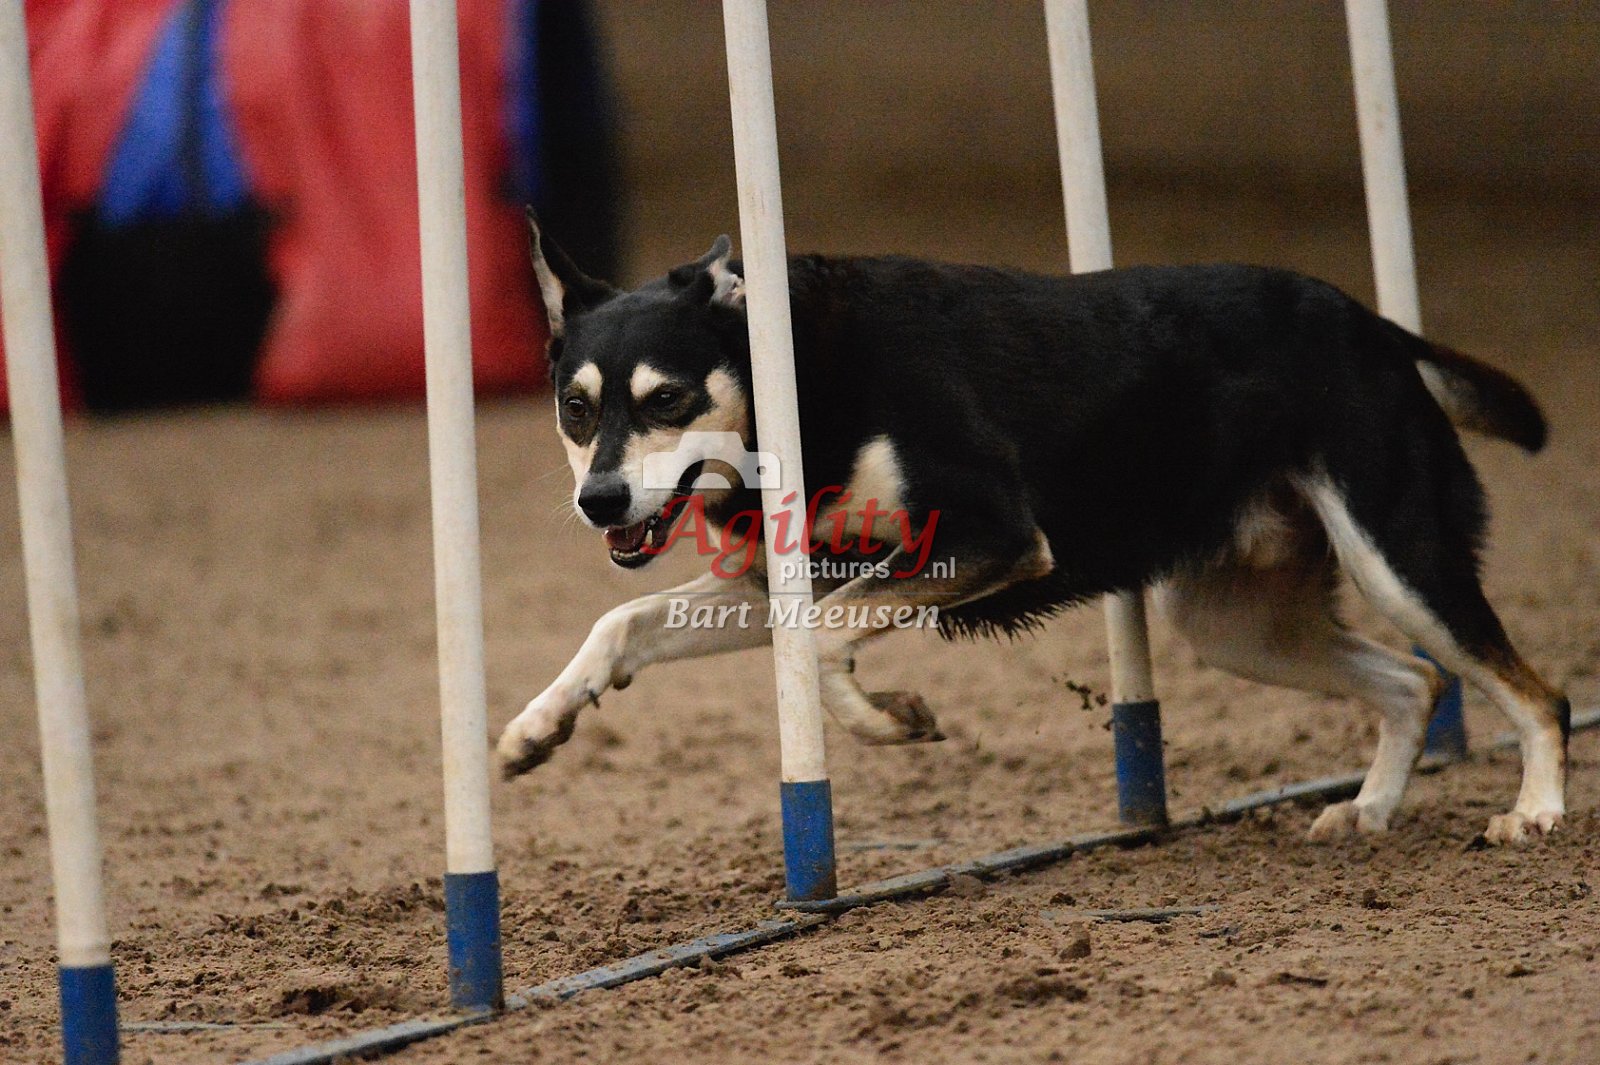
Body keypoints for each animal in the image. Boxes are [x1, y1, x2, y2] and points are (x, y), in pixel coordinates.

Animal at [497, 214, 1569, 847]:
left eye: (668, 398)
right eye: (576, 409)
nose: (600, 502)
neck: (800, 377)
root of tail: (1372, 324)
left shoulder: (993, 538)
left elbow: (826, 642)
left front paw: (891, 718)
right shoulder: (788, 578)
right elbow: (623, 624)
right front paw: (537, 727)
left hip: (1398, 562)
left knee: (1534, 693)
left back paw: (1536, 811)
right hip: (1238, 625)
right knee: (1415, 681)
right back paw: (1370, 810)